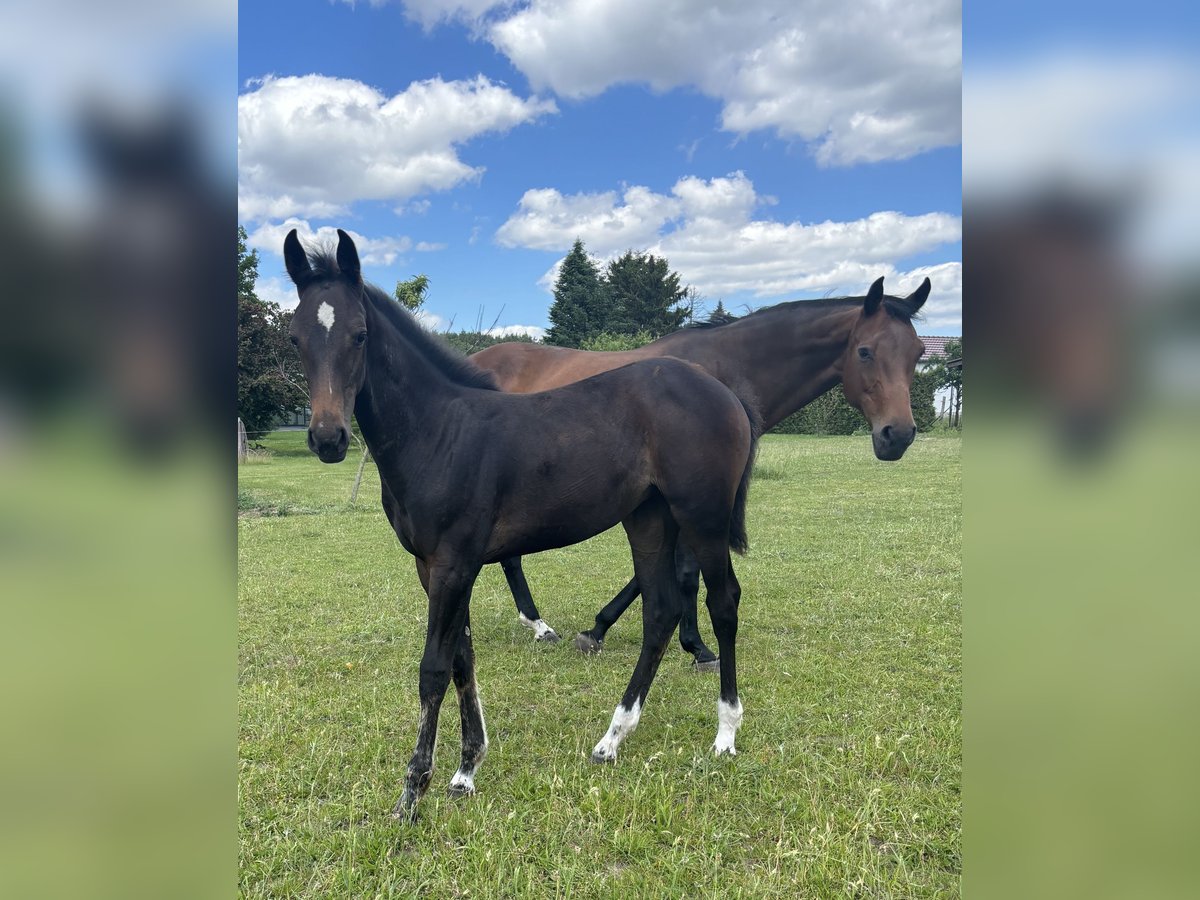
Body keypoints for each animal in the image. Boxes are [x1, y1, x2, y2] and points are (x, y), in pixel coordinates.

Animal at [284, 229, 753, 820]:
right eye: (295, 338)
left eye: (360, 335)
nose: (328, 438)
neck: (439, 432)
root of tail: (724, 394)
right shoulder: (433, 567)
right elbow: (462, 659)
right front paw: (465, 770)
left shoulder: (454, 564)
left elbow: (434, 668)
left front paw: (412, 793)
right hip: (648, 518)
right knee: (661, 611)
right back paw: (612, 739)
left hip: (702, 518)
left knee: (722, 603)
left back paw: (725, 733)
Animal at [468, 278, 926, 667]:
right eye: (865, 351)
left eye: (918, 353)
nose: (898, 434)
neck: (726, 368)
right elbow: (686, 572)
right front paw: (694, 646)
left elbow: (662, 572)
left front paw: (604, 628)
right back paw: (537, 624)